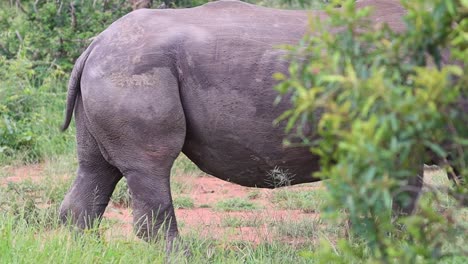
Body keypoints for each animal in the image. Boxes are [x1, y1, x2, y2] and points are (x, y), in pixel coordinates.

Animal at [60, 0, 422, 248]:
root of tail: (94, 45)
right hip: (132, 71)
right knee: (150, 166)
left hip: (113, 69)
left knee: (96, 167)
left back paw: (83, 249)